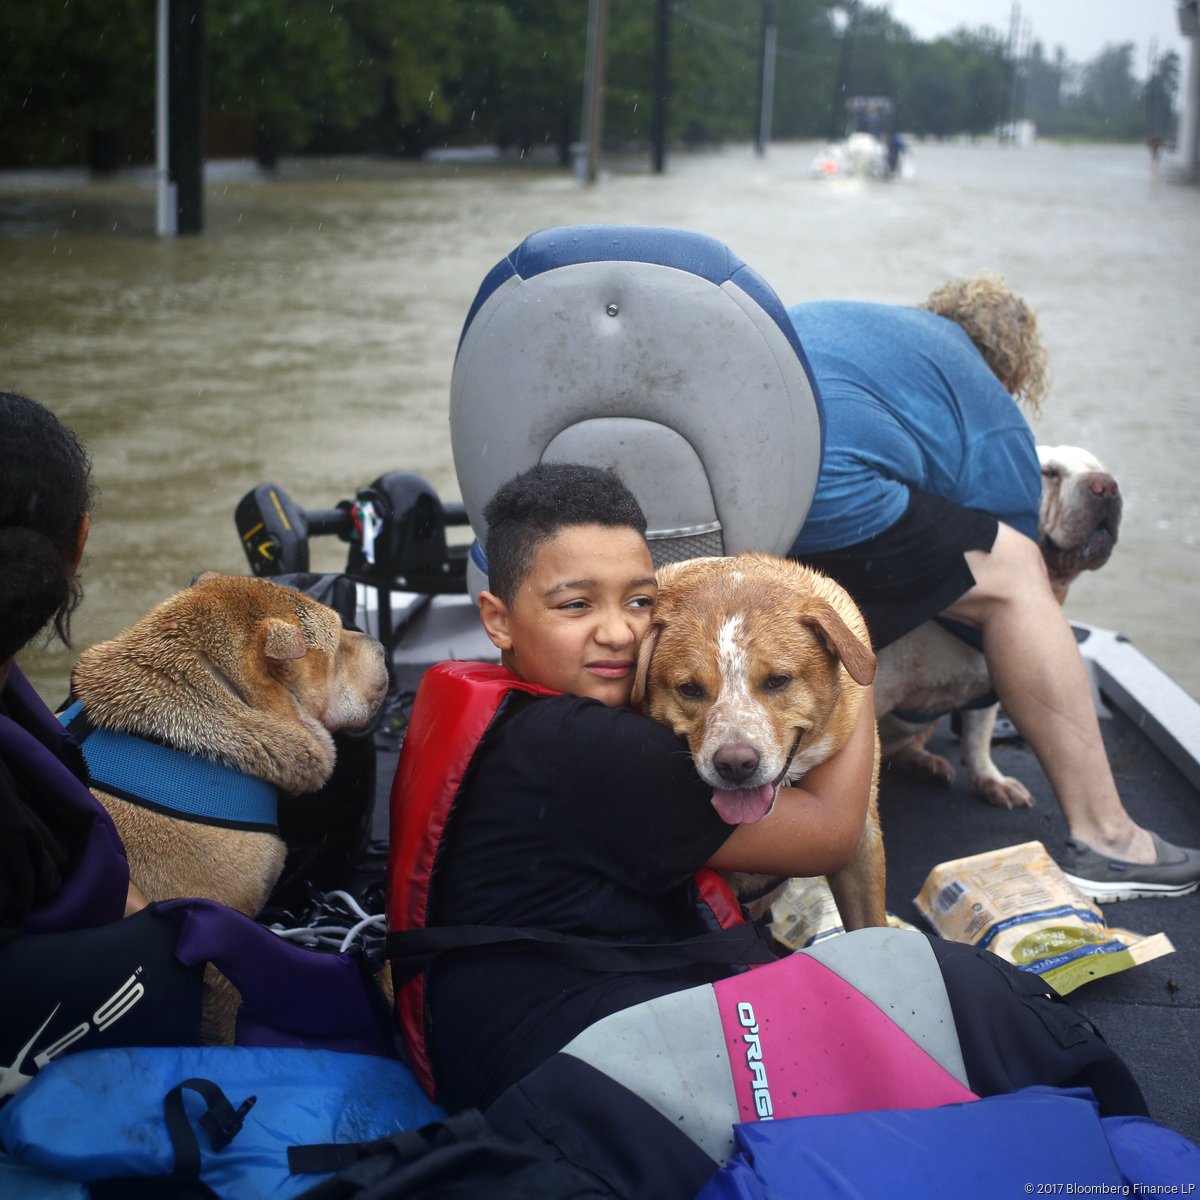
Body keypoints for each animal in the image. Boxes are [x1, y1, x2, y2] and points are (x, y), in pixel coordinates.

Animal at [878, 446, 1118, 811]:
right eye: (1049, 473)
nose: (1107, 486)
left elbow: (978, 737)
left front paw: (990, 780)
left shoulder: (989, 684)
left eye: (1101, 468)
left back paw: (923, 762)